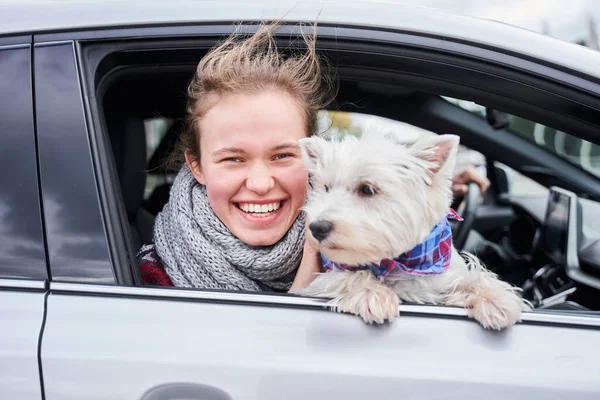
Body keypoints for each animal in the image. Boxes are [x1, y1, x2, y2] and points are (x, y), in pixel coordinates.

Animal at [296, 130, 528, 330]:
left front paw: (497, 300)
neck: (396, 262)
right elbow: (348, 275)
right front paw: (375, 296)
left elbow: (473, 278)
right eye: (326, 188)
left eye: (367, 189)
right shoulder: (320, 281)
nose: (317, 227)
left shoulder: (443, 276)